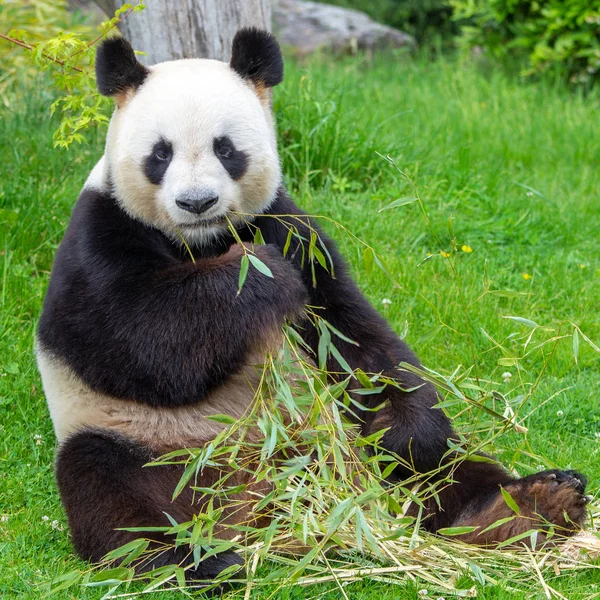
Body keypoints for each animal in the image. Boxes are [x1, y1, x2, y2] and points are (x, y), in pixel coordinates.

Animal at [38, 29, 592, 592]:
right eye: (160, 154)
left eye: (226, 149)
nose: (197, 203)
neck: (203, 243)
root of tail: (259, 509)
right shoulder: (100, 234)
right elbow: (134, 341)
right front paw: (258, 276)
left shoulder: (292, 230)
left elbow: (356, 337)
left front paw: (408, 430)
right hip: (144, 443)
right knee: (112, 493)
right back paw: (197, 559)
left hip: (325, 438)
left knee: (444, 473)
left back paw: (529, 507)